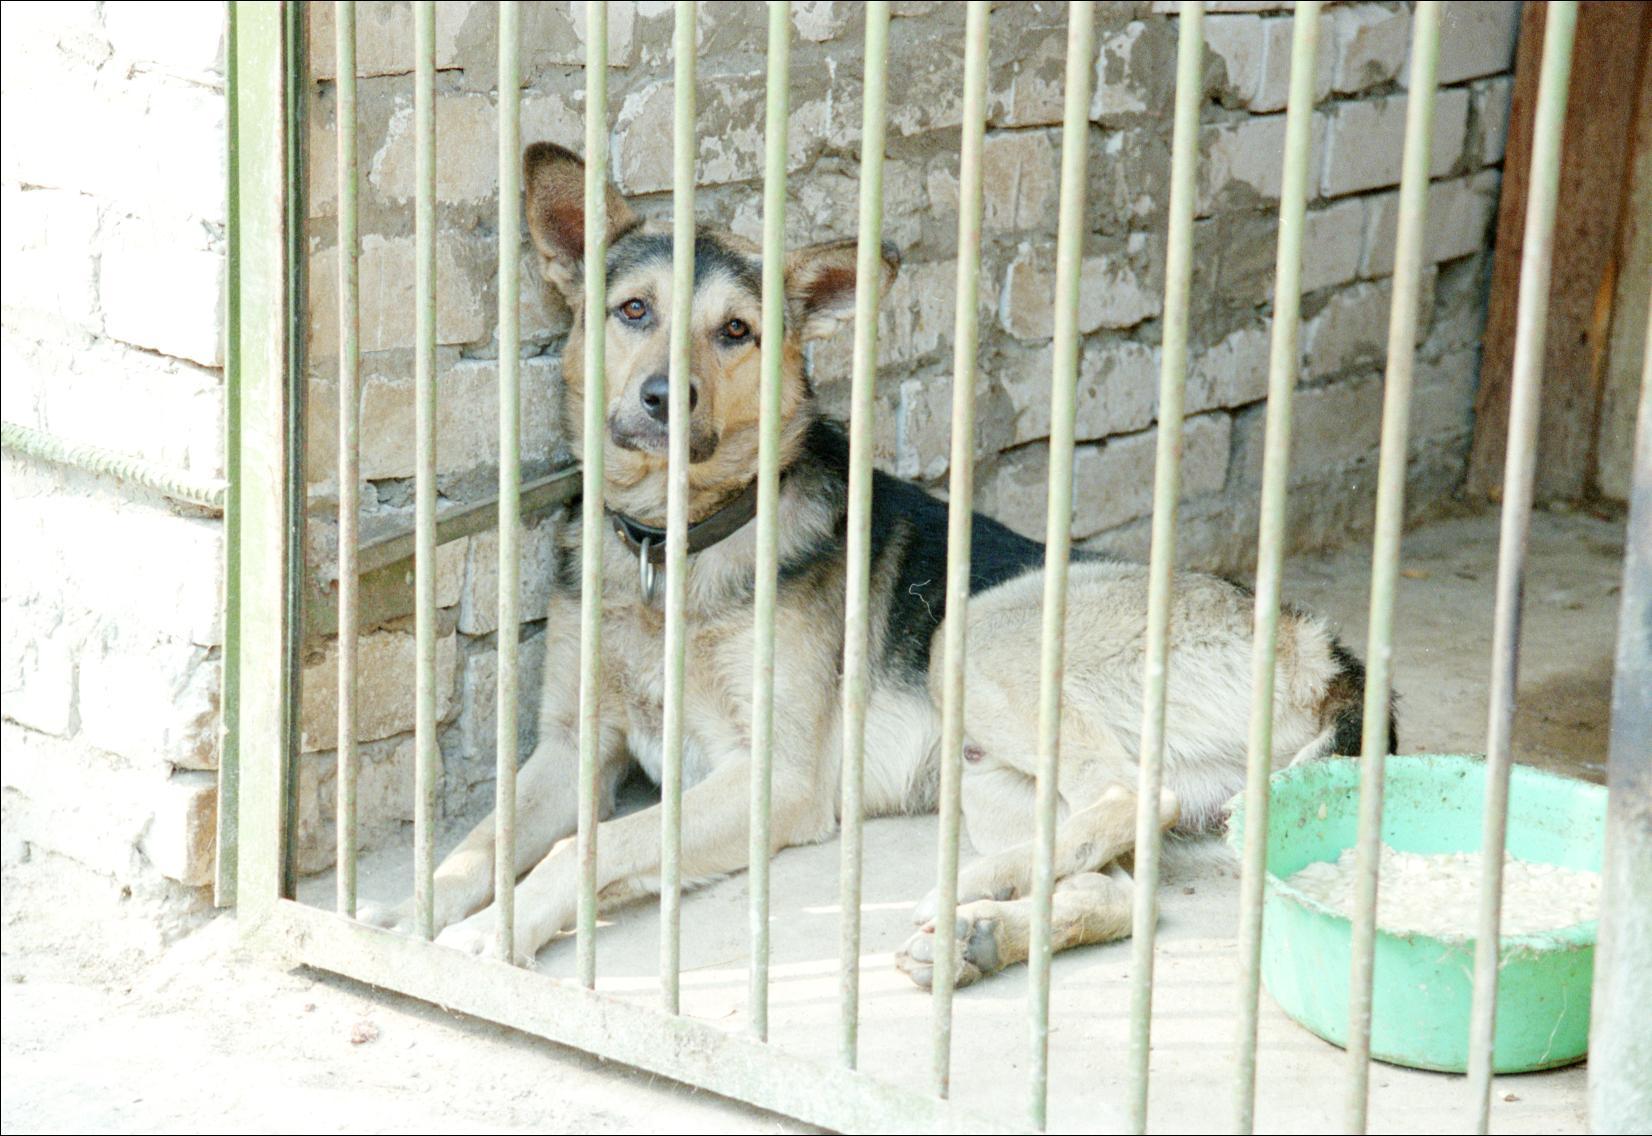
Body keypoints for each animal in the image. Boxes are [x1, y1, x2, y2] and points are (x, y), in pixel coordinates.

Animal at [361, 142, 1394, 988]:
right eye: (633, 311)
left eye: (736, 331)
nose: (664, 397)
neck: (676, 548)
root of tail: (1323, 650)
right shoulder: (571, 750)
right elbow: (481, 843)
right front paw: (411, 911)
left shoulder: (768, 781)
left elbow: (591, 849)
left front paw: (493, 934)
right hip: (991, 767)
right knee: (1120, 888)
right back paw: (979, 932)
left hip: (977, 637)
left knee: (1132, 791)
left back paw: (976, 885)